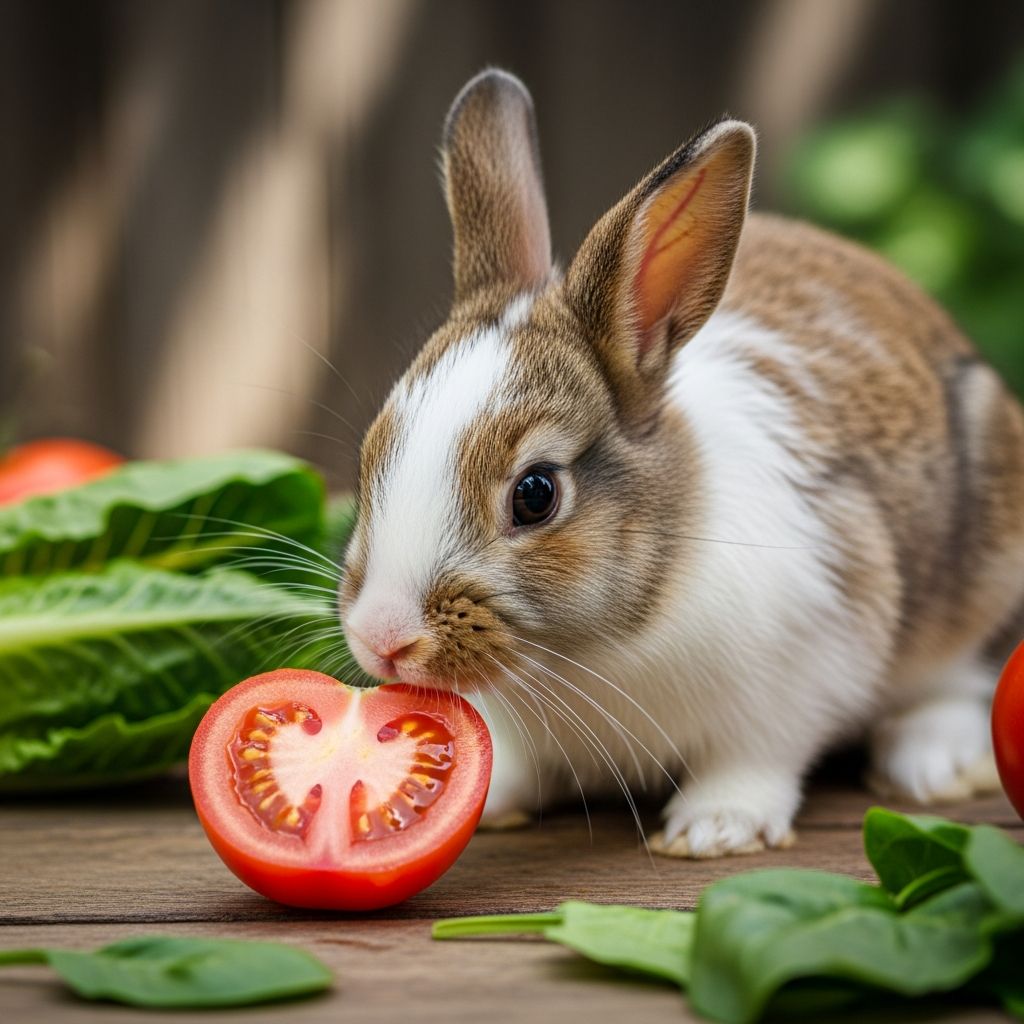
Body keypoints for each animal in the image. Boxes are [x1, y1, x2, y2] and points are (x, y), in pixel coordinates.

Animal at [338, 68, 1024, 857]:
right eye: (371, 452)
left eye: (536, 494)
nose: (382, 639)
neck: (587, 654)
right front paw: (481, 803)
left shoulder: (804, 668)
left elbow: (756, 758)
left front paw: (713, 830)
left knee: (962, 675)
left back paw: (928, 762)